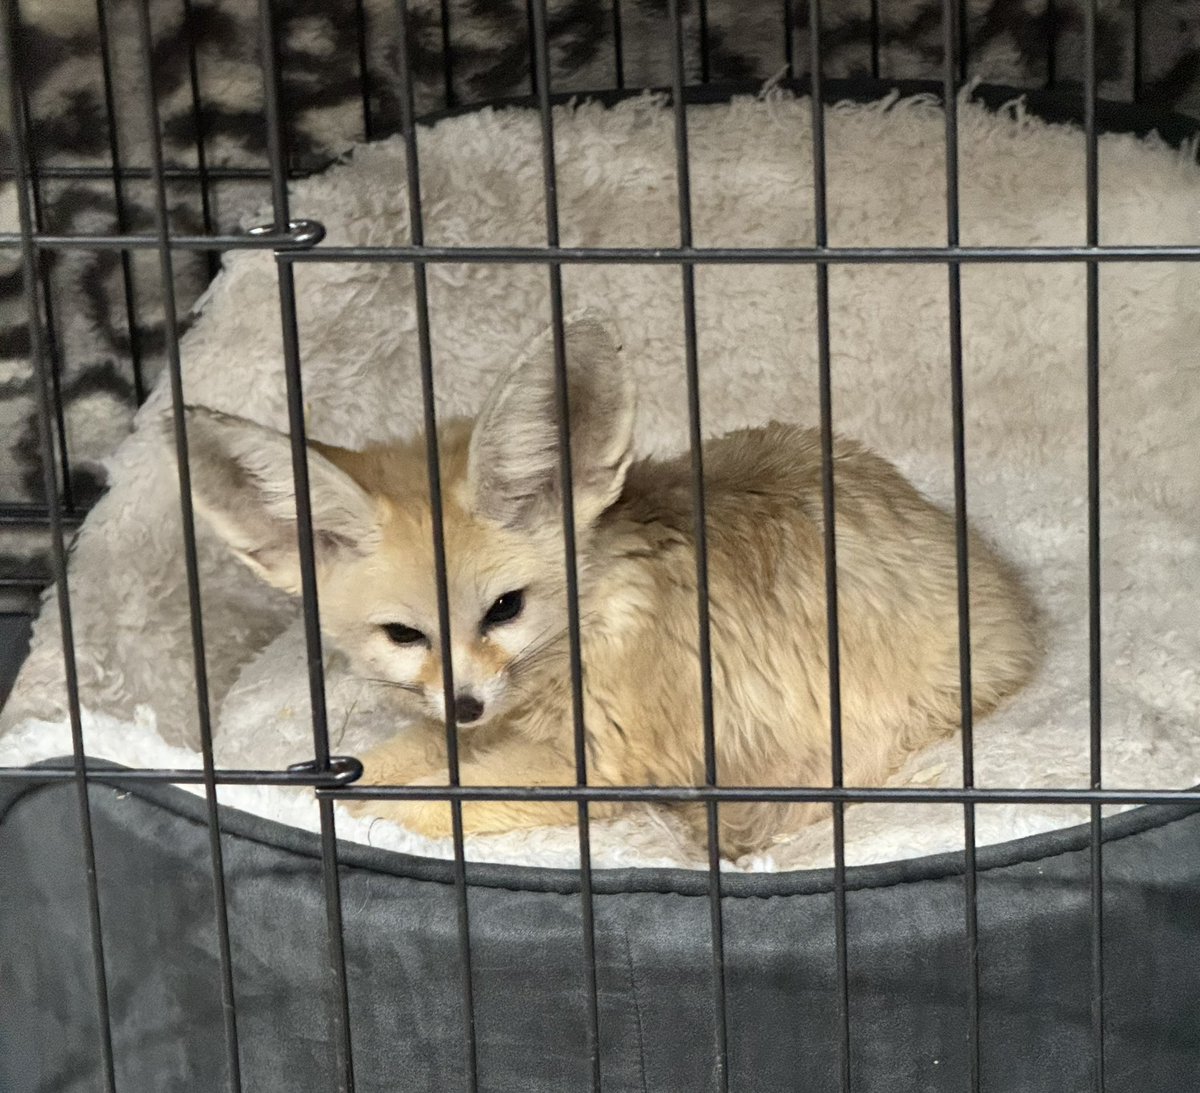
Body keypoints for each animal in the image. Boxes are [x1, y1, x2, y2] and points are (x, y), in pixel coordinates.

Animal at [181, 314, 1037, 855]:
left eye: (506, 608)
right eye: (403, 634)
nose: (466, 704)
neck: (597, 618)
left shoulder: (599, 764)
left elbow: (428, 805)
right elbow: (396, 759)